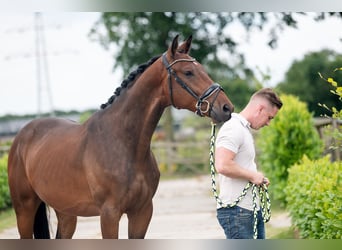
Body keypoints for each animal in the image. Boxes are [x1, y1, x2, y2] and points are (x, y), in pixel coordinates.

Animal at [7, 34, 232, 238]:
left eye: (202, 69)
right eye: (188, 72)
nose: (226, 108)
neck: (124, 144)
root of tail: (22, 136)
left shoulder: (142, 212)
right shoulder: (109, 214)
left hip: (66, 212)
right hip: (25, 210)